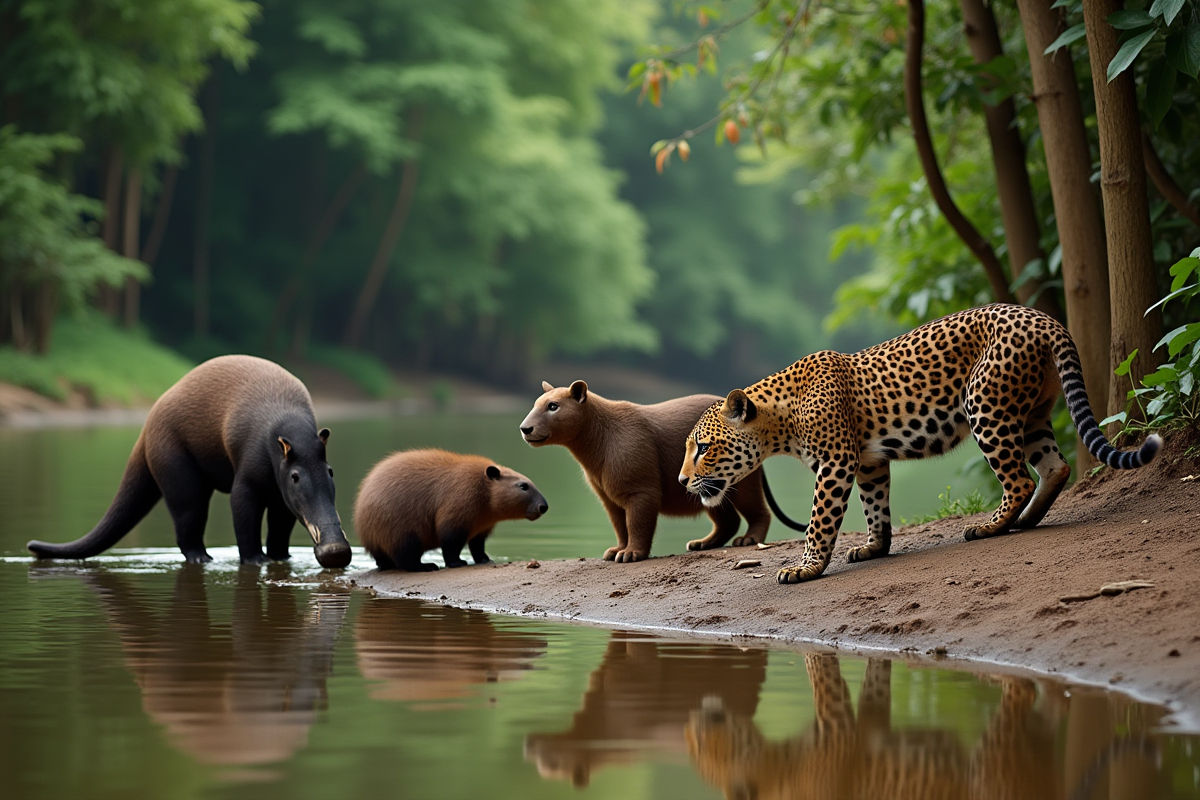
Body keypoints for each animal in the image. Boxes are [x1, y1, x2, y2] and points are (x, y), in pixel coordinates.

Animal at [678, 304, 1162, 584]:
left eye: (703, 447)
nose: (682, 480)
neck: (780, 422)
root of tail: (1041, 317)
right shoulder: (869, 462)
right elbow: (876, 508)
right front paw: (874, 547)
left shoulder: (835, 463)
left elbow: (820, 520)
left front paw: (806, 566)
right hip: (1033, 413)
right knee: (1054, 467)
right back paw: (1027, 520)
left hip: (984, 404)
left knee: (1019, 479)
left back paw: (992, 526)